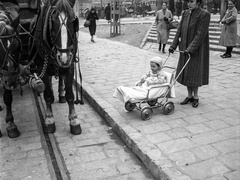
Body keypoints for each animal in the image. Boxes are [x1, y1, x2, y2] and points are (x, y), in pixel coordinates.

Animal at [29, 0, 82, 135]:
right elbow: (47, 95)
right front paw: (49, 120)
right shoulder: (41, 67)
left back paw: (61, 94)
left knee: (61, 78)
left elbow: (70, 95)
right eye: (52, 21)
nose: (63, 58)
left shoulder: (70, 66)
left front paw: (74, 120)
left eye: (73, 20)